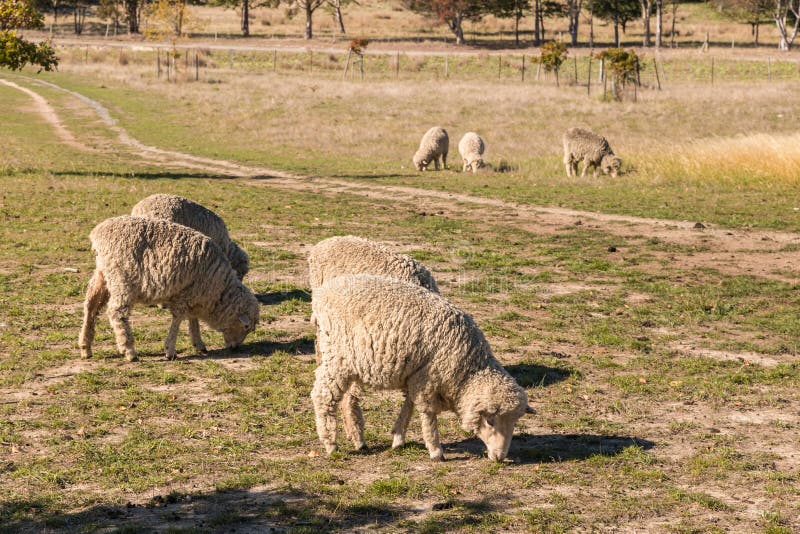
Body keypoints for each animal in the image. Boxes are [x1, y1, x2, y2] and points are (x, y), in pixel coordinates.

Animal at [78, 216, 259, 362]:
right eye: (246, 327)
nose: (235, 348)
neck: (219, 291)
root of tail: (98, 233)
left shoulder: (194, 294)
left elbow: (192, 318)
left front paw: (198, 343)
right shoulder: (187, 293)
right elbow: (178, 319)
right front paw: (170, 350)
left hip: (103, 273)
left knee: (91, 305)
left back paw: (85, 347)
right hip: (122, 278)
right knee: (116, 312)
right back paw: (129, 351)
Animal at [311, 274, 534, 461]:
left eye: (515, 423)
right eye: (490, 421)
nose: (499, 457)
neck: (468, 370)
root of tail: (323, 292)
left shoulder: (415, 376)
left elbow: (408, 406)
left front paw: (398, 438)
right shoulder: (427, 379)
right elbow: (428, 415)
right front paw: (435, 450)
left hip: (350, 363)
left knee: (345, 399)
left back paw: (357, 440)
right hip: (338, 357)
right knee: (323, 396)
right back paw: (331, 444)